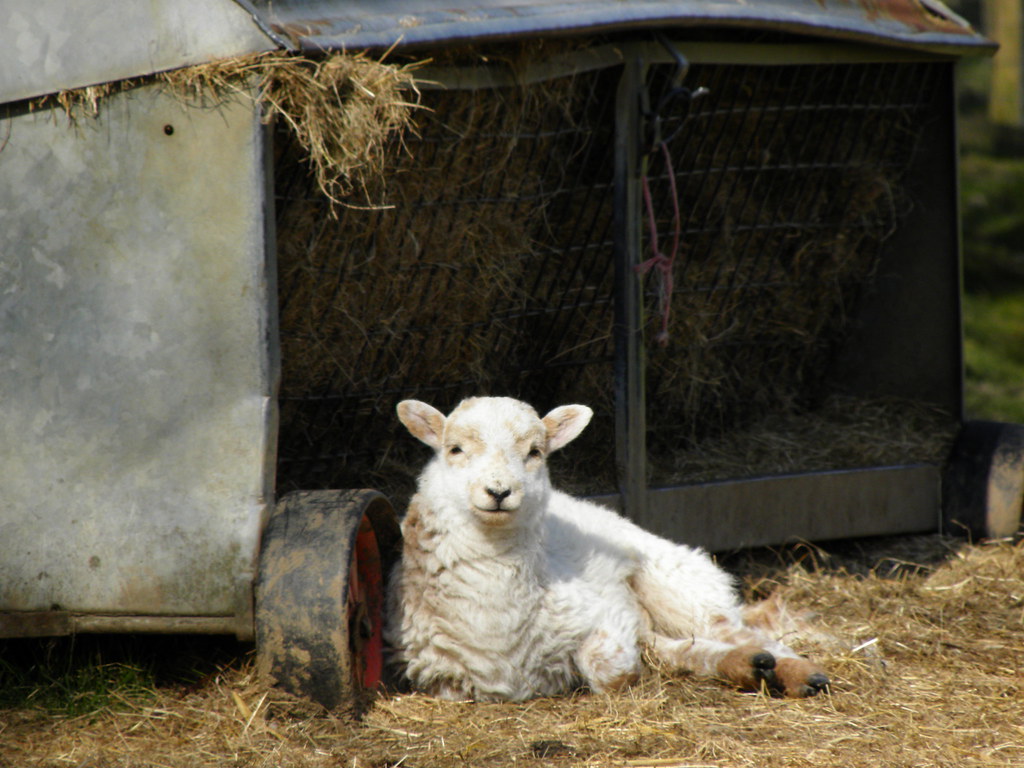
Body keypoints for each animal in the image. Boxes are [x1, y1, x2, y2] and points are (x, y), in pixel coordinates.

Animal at [384, 396, 830, 701]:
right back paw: (750, 665)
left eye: (535, 452)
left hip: (679, 580)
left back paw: (800, 673)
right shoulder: (441, 677)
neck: (498, 620)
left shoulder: (607, 610)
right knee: (685, 645)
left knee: (734, 630)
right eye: (455, 450)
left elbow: (609, 671)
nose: (498, 492)